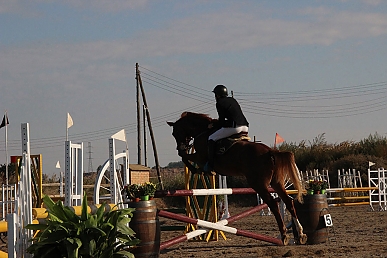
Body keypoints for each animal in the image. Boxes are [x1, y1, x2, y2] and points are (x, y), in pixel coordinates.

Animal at [168, 112, 308, 245]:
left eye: (175, 133)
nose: (180, 147)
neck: (202, 131)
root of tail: (271, 152)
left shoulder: (199, 156)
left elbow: (183, 157)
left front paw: (196, 169)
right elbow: (184, 156)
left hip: (259, 184)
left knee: (273, 204)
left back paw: (284, 235)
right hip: (276, 183)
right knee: (289, 202)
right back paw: (300, 235)